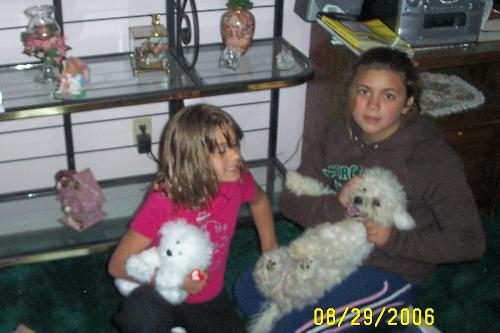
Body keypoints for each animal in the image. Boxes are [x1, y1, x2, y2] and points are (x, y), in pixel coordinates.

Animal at [250, 167, 418, 330]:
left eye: (377, 203)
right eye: (364, 188)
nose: (357, 199)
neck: (351, 221)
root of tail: (276, 302)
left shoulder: (341, 243)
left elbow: (317, 245)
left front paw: (299, 249)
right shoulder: (331, 203)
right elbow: (317, 188)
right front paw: (294, 179)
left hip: (307, 289)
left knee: (292, 285)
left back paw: (302, 269)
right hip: (278, 266)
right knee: (261, 275)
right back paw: (271, 265)